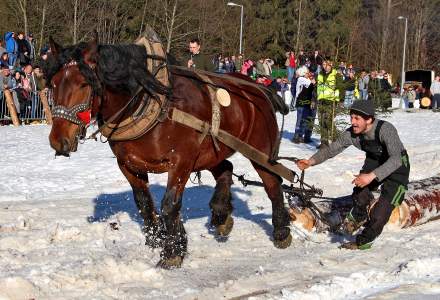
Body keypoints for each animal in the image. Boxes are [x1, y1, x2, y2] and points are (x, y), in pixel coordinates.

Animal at [44, 37, 292, 270]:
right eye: (53, 84)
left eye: (83, 84)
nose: (58, 140)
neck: (151, 102)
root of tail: (257, 87)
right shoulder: (128, 164)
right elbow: (144, 203)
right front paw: (157, 239)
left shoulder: (181, 162)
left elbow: (170, 205)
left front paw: (172, 251)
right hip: (213, 148)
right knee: (226, 170)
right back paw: (221, 215)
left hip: (260, 150)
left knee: (272, 183)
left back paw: (281, 231)